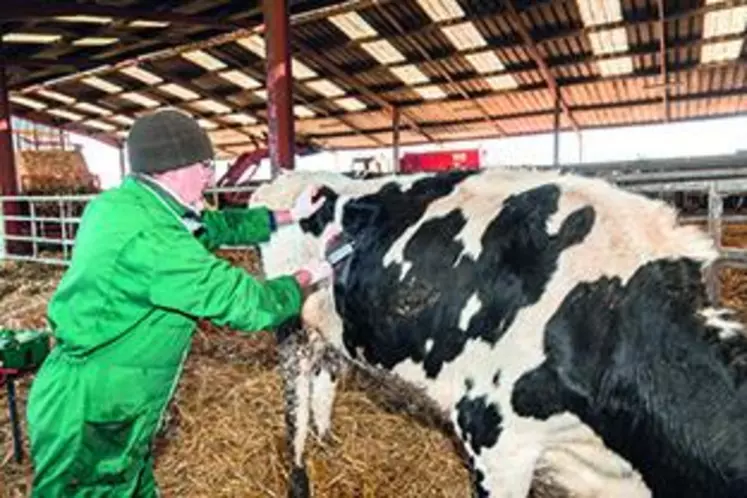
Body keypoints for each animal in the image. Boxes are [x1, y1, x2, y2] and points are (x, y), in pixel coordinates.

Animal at [251, 168, 747, 498]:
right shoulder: (491, 436)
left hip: (333, 330)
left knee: (326, 377)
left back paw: (328, 440)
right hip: (289, 324)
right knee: (295, 405)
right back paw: (301, 475)